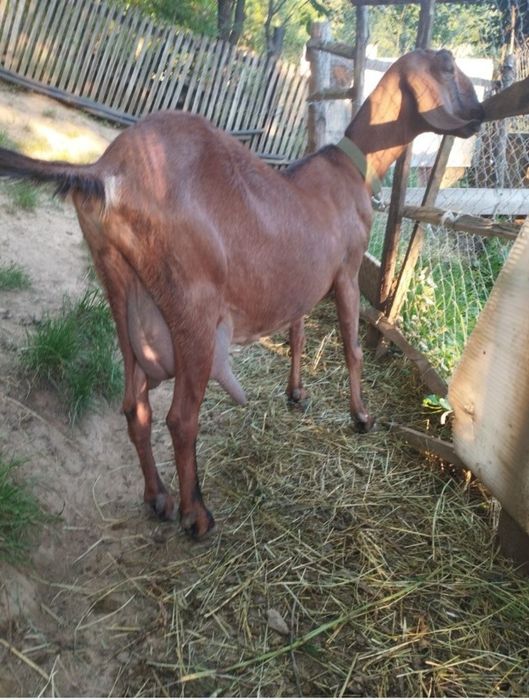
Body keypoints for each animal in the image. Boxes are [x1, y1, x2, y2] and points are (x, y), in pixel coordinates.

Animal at [0, 49, 482, 538]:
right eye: (448, 65)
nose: (479, 116)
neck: (352, 170)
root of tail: (106, 172)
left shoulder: (301, 281)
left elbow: (298, 336)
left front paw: (296, 394)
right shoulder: (346, 272)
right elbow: (352, 348)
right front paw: (361, 417)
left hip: (123, 295)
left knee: (135, 406)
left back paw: (158, 497)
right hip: (192, 309)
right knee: (180, 418)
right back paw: (197, 515)